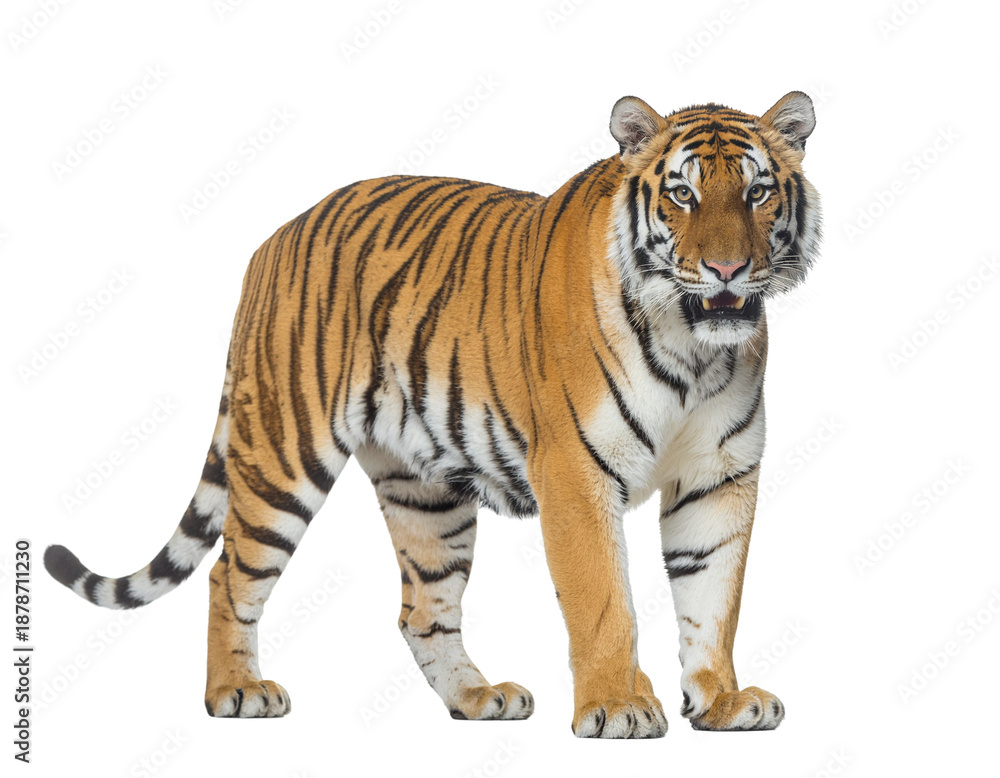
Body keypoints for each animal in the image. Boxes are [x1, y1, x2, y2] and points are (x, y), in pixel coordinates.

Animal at [45, 91, 821, 738]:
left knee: (422, 609)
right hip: (283, 454)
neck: (694, 347)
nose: (726, 271)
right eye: (683, 194)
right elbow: (604, 603)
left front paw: (722, 701)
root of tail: (271, 242)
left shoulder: (719, 478)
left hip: (425, 492)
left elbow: (713, 600)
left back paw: (477, 698)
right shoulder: (576, 475)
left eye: (756, 192)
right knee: (228, 575)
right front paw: (617, 706)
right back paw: (236, 691)